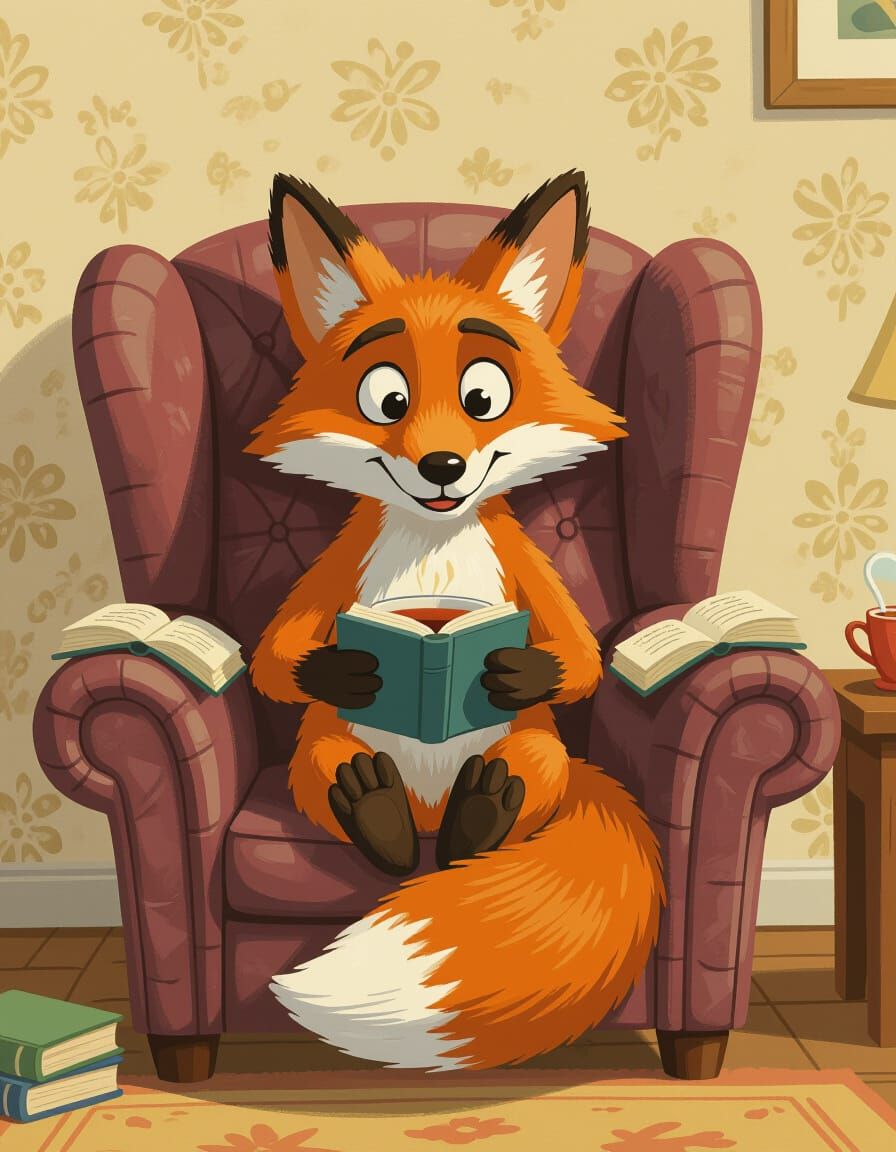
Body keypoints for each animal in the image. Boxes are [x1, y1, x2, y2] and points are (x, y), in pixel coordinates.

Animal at [246, 169, 665, 1071]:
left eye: (483, 396)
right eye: (387, 398)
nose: (442, 466)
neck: (434, 545)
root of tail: (430, 810)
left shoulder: (530, 575)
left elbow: (580, 657)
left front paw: (512, 670)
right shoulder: (336, 574)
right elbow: (276, 657)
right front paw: (351, 668)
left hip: (539, 747)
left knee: (523, 776)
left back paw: (483, 815)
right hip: (321, 747)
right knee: (340, 777)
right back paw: (378, 813)